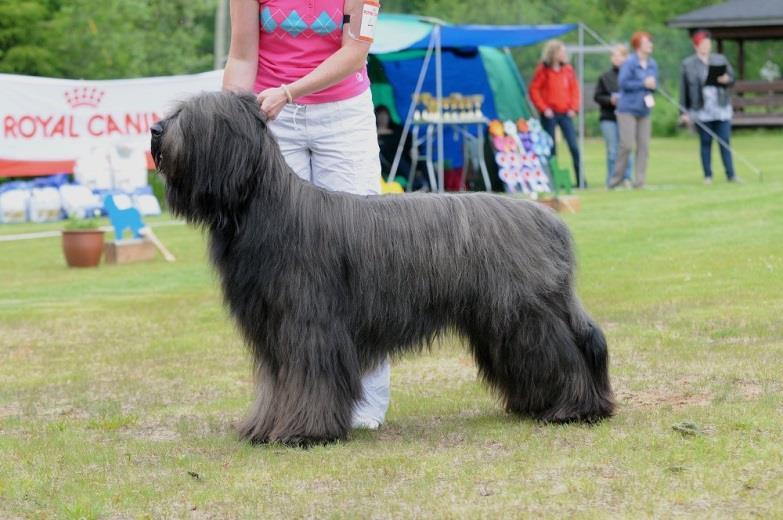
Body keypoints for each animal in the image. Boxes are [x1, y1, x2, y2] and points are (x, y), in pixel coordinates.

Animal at [153, 90, 616, 446]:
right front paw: (265, 428)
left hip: (525, 312)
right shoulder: (272, 331)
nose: (156, 130)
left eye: (194, 116)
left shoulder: (309, 323)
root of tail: (547, 218)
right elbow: (276, 384)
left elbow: (309, 377)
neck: (267, 209)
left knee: (568, 350)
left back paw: (576, 408)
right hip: (500, 321)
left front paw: (304, 432)